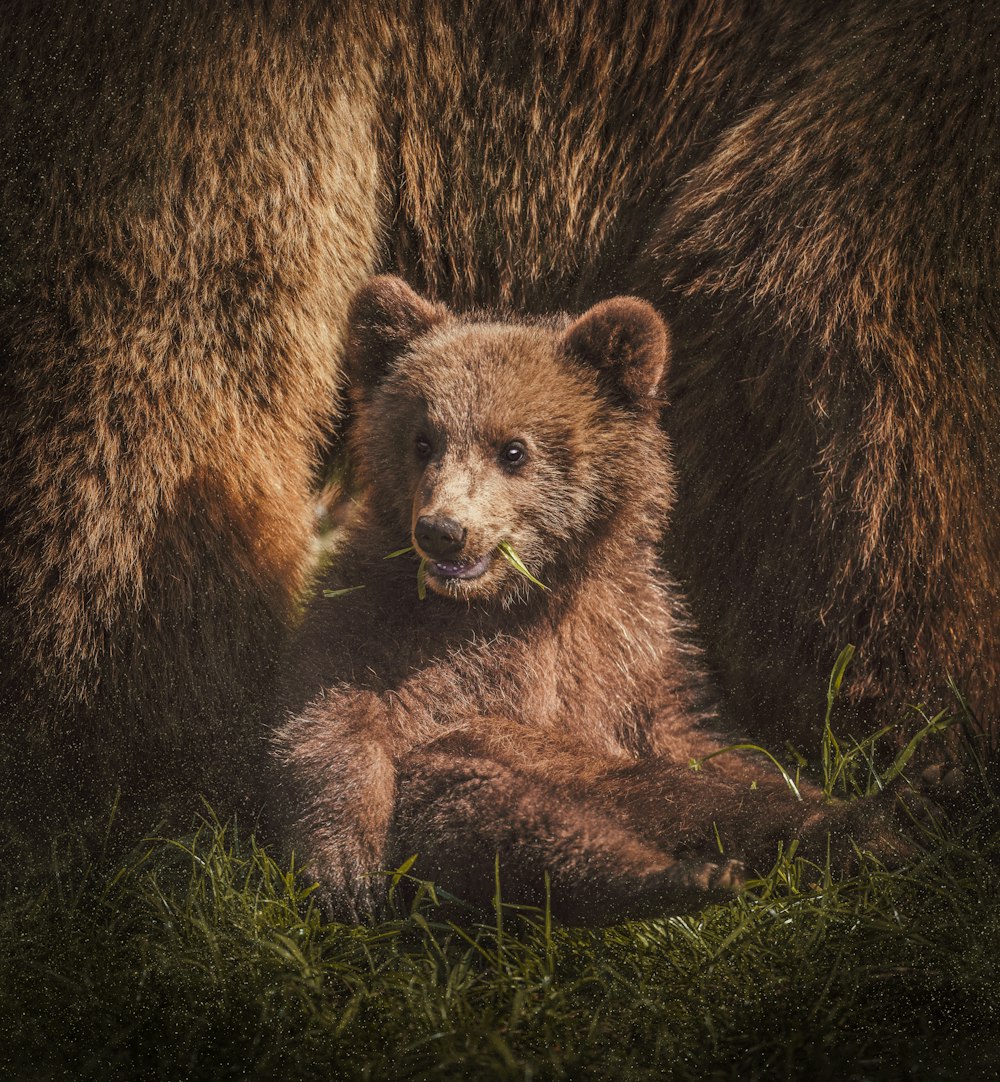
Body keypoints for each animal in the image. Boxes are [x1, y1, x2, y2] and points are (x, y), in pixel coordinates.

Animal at [272, 276, 914, 923]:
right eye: (422, 440)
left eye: (513, 449)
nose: (442, 530)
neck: (515, 599)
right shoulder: (376, 616)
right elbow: (328, 714)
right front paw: (346, 866)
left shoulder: (631, 641)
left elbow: (707, 740)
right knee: (497, 802)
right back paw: (678, 875)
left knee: (701, 797)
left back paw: (877, 816)